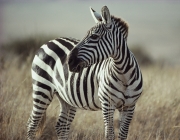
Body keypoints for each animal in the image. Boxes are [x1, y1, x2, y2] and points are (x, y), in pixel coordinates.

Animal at [26, 5, 143, 140]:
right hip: (42, 88)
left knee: (61, 126)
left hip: (66, 97)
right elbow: (109, 134)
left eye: (94, 37)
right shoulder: (107, 104)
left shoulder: (129, 106)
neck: (124, 75)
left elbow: (123, 135)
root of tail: (48, 42)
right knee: (32, 124)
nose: (69, 61)